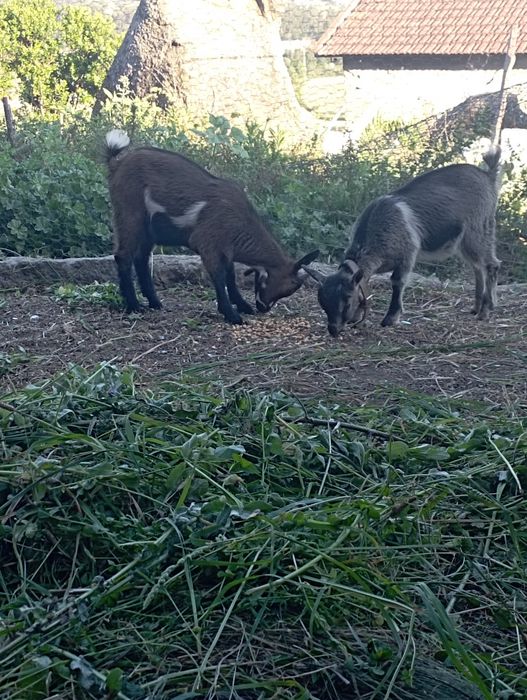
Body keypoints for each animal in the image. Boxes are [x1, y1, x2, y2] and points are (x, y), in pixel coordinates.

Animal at [104, 129, 319, 323]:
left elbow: (231, 277)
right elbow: (219, 277)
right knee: (123, 256)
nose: (263, 307)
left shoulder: (226, 250)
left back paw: (155, 303)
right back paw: (134, 306)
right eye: (290, 285)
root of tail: (117, 163)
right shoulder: (208, 243)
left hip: (149, 231)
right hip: (130, 215)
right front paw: (233, 315)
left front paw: (243, 306)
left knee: (141, 259)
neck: (239, 219)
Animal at [315, 147, 502, 337]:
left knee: (491, 264)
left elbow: (397, 282)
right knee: (477, 267)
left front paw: (390, 318)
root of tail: (488, 175)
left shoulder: (408, 254)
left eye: (346, 300)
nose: (333, 329)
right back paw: (476, 307)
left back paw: (485, 311)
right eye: (322, 302)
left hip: (478, 229)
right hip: (465, 241)